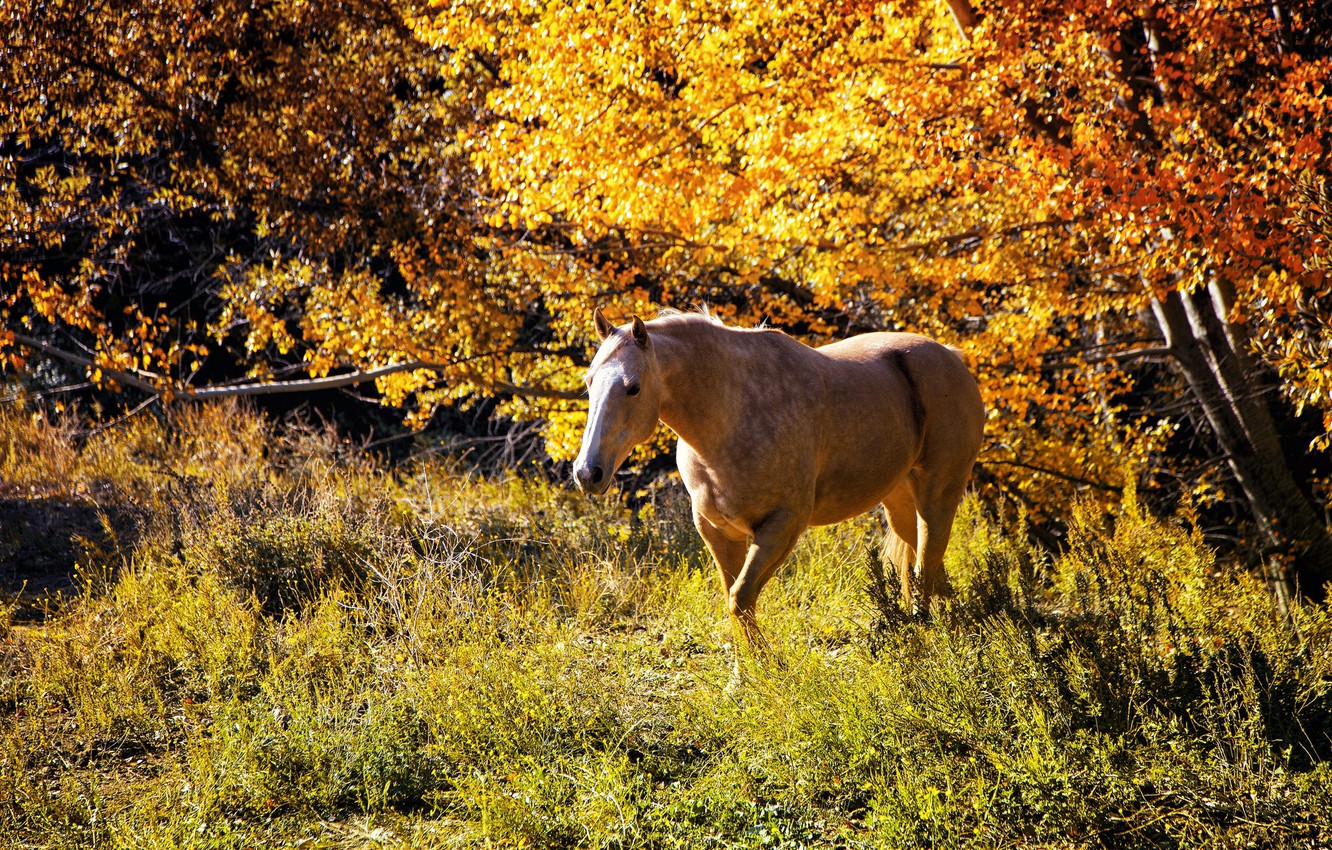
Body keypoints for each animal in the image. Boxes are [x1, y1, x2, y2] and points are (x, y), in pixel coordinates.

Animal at [572, 309, 991, 650]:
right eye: (590, 381)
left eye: (633, 387)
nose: (587, 472)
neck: (730, 415)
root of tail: (951, 357)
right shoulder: (718, 532)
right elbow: (734, 600)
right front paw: (746, 677)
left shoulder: (782, 526)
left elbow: (740, 598)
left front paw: (767, 669)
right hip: (901, 503)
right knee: (930, 568)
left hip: (938, 495)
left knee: (926, 569)